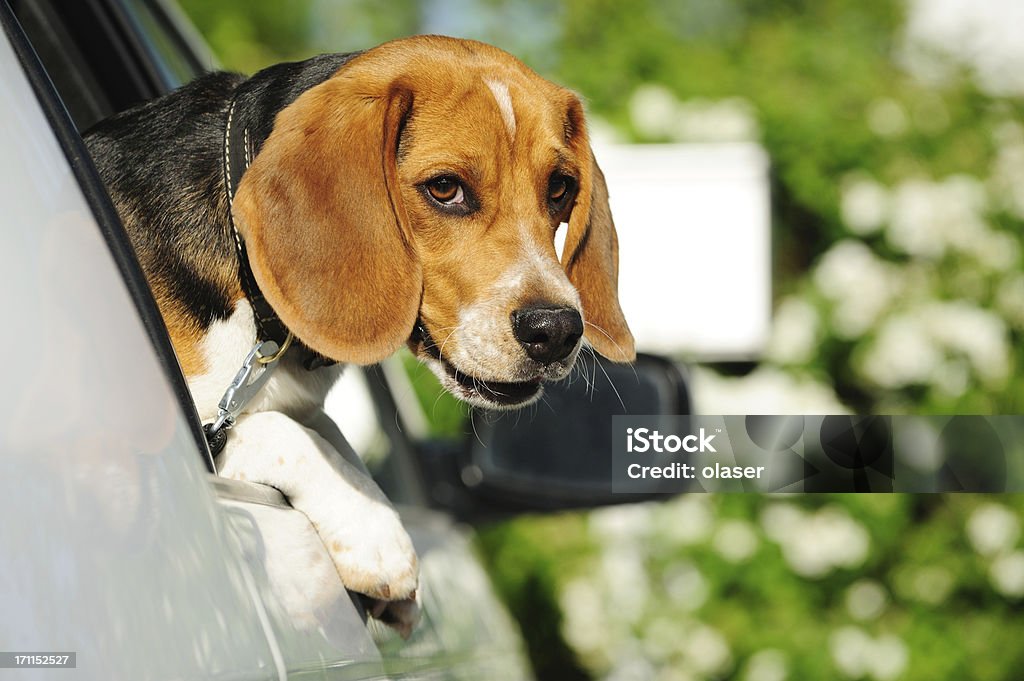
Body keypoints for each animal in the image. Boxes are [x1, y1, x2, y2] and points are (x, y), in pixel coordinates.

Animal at [83, 35, 630, 630]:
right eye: (445, 189)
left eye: (560, 188)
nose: (557, 330)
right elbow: (288, 434)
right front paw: (375, 536)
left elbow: (330, 436)